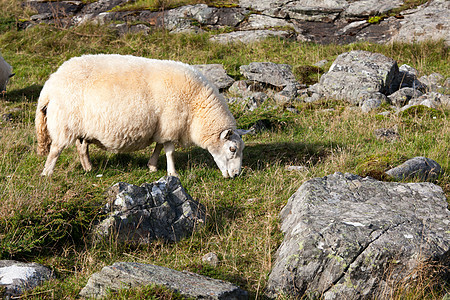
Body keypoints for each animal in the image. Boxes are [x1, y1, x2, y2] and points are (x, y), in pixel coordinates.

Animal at [35, 53, 246, 177]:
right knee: (56, 149)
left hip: (82, 126)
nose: (236, 175)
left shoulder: (163, 127)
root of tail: (50, 85)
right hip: (64, 122)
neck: (196, 106)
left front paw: (152, 166)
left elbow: (159, 147)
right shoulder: (171, 124)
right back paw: (47, 173)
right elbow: (169, 150)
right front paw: (172, 173)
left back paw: (89, 168)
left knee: (81, 147)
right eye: (232, 149)